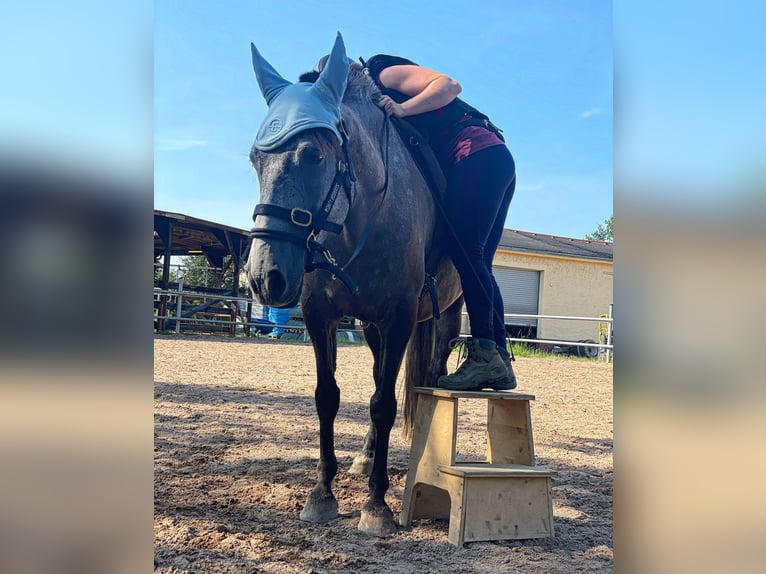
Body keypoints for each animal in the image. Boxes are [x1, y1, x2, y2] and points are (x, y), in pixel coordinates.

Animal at [248, 32, 462, 540]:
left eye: (313, 155)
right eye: (255, 158)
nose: (265, 277)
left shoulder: (401, 316)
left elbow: (384, 403)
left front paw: (377, 505)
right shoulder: (321, 316)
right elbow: (329, 397)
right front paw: (322, 494)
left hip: (447, 312)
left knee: (432, 373)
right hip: (370, 328)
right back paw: (365, 458)